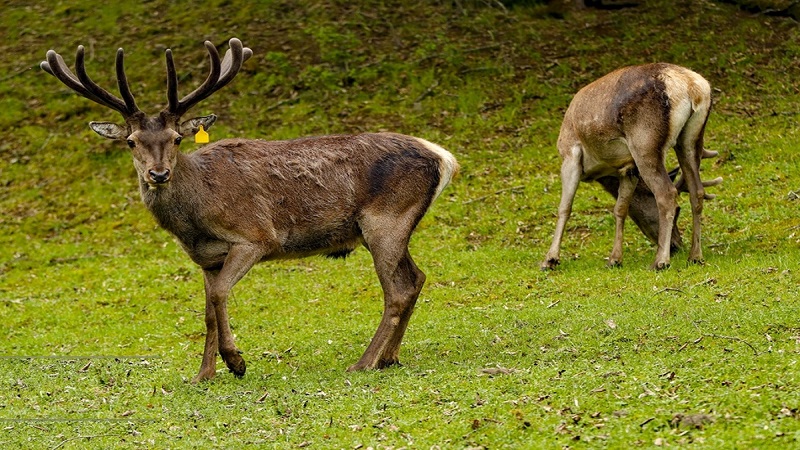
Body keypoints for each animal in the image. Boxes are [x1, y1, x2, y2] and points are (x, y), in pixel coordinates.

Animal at [42, 39, 456, 384]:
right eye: (130, 141)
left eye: (176, 139)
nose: (157, 174)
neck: (193, 221)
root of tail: (443, 157)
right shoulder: (206, 258)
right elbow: (208, 306)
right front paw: (203, 374)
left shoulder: (255, 237)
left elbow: (220, 294)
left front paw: (236, 361)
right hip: (392, 226)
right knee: (416, 277)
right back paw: (388, 357)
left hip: (386, 220)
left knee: (397, 290)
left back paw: (364, 362)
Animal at [540, 63, 720, 270]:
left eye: (678, 212)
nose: (676, 246)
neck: (602, 171)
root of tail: (692, 87)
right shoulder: (628, 169)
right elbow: (620, 208)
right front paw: (614, 259)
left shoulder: (570, 153)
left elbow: (565, 207)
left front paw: (550, 259)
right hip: (691, 139)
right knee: (697, 192)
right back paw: (695, 256)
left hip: (645, 143)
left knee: (666, 193)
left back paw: (660, 261)